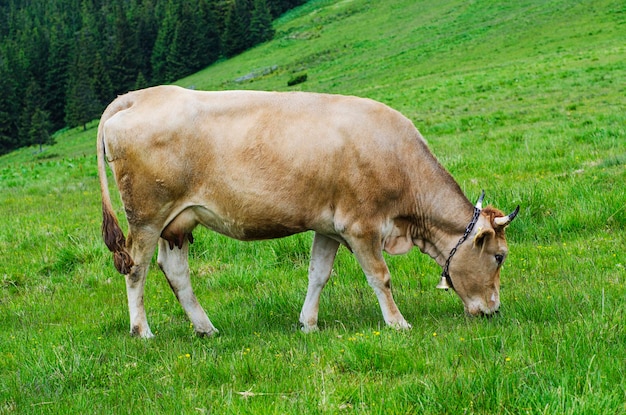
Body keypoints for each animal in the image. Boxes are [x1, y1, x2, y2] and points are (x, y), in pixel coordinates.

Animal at [97, 84, 516, 338]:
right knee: (136, 269)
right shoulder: (360, 226)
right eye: (499, 256)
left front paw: (309, 324)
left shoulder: (328, 227)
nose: (494, 310)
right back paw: (142, 331)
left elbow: (318, 274)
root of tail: (140, 96)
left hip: (177, 222)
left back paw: (206, 328)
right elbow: (380, 277)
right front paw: (398, 323)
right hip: (146, 217)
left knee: (175, 272)